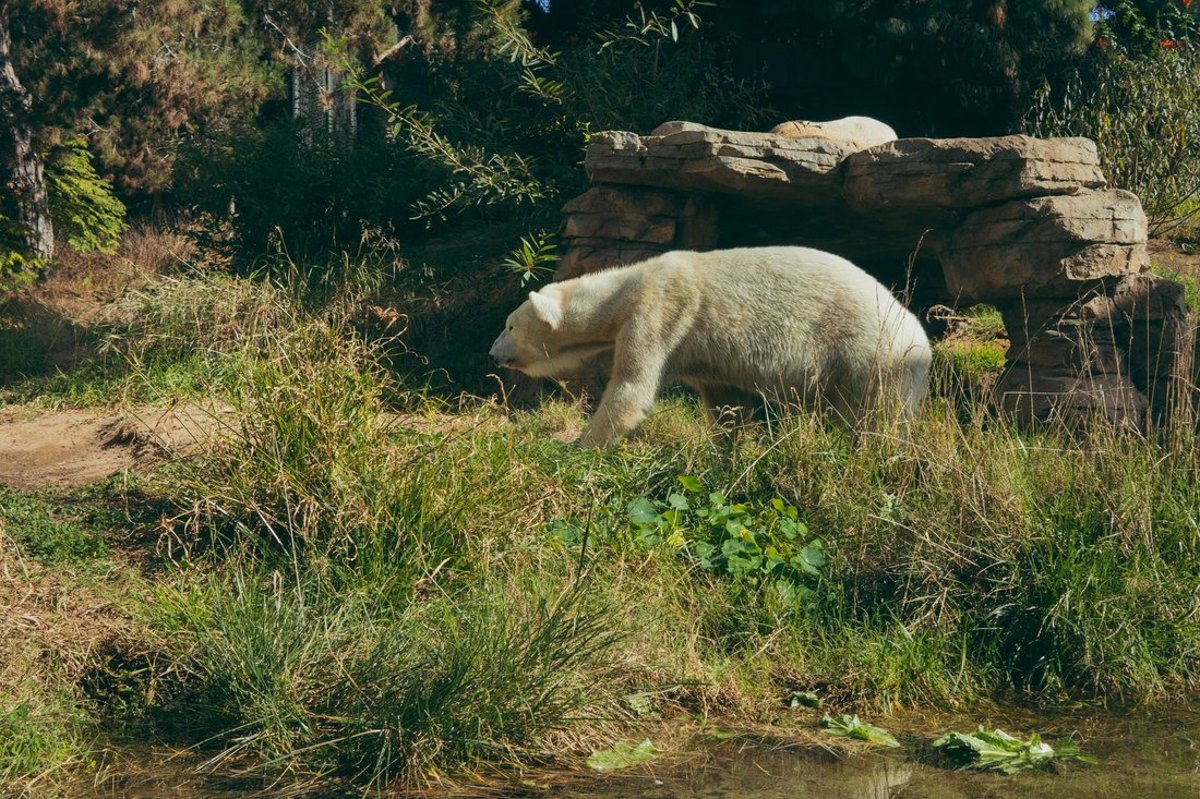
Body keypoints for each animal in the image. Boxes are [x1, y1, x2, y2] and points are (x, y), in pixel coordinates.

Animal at [489, 246, 932, 449]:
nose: (492, 353)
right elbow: (724, 402)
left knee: (873, 419)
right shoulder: (703, 352)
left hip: (868, 357)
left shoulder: (661, 312)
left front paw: (577, 445)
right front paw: (729, 448)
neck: (626, 288)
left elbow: (631, 389)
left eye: (509, 324)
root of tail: (921, 342)